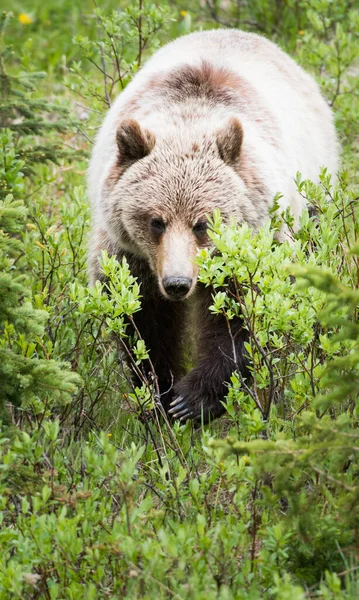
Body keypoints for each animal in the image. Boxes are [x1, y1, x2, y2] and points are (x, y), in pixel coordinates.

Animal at [88, 28, 340, 422]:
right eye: (156, 221)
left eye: (202, 224)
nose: (177, 283)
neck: (189, 119)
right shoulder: (132, 256)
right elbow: (141, 319)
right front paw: (160, 394)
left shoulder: (255, 240)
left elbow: (244, 315)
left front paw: (191, 401)